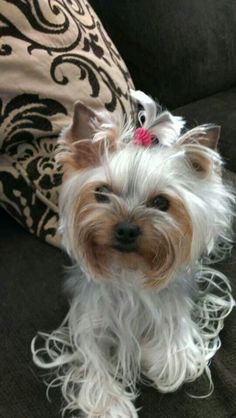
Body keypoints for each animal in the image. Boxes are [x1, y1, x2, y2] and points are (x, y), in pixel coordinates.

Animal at [32, 91, 235, 418]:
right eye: (102, 193)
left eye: (161, 202)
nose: (126, 230)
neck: (128, 268)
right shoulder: (89, 316)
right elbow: (92, 355)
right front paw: (111, 403)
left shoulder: (174, 299)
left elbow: (176, 352)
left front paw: (156, 357)